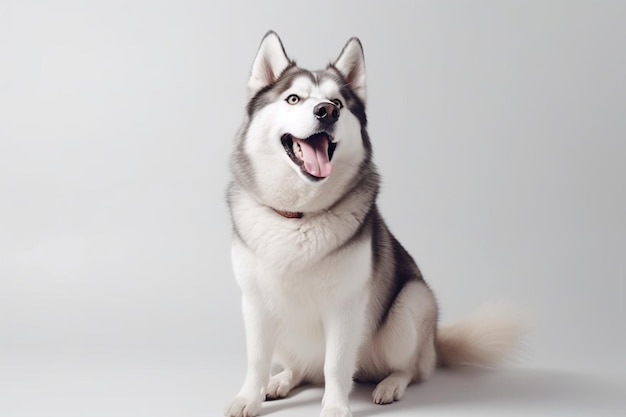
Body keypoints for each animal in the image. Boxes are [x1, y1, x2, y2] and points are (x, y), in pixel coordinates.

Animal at [224, 30, 520, 416]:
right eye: (293, 98)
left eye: (337, 101)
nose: (326, 111)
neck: (300, 215)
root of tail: (434, 343)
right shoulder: (255, 303)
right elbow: (258, 360)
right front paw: (250, 396)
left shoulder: (346, 306)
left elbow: (336, 365)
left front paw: (335, 408)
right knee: (303, 368)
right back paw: (283, 380)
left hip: (411, 304)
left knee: (409, 367)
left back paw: (391, 383)